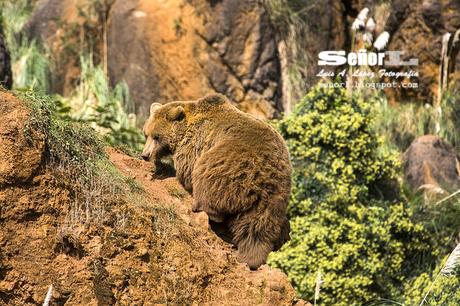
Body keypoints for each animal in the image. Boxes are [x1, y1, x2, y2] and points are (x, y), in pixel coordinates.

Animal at [141, 94, 292, 268]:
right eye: (146, 134)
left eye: (156, 137)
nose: (145, 155)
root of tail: (265, 174)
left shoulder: (196, 143)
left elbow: (187, 170)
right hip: (273, 197)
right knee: (256, 226)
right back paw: (251, 257)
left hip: (230, 166)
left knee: (208, 180)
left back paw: (201, 208)